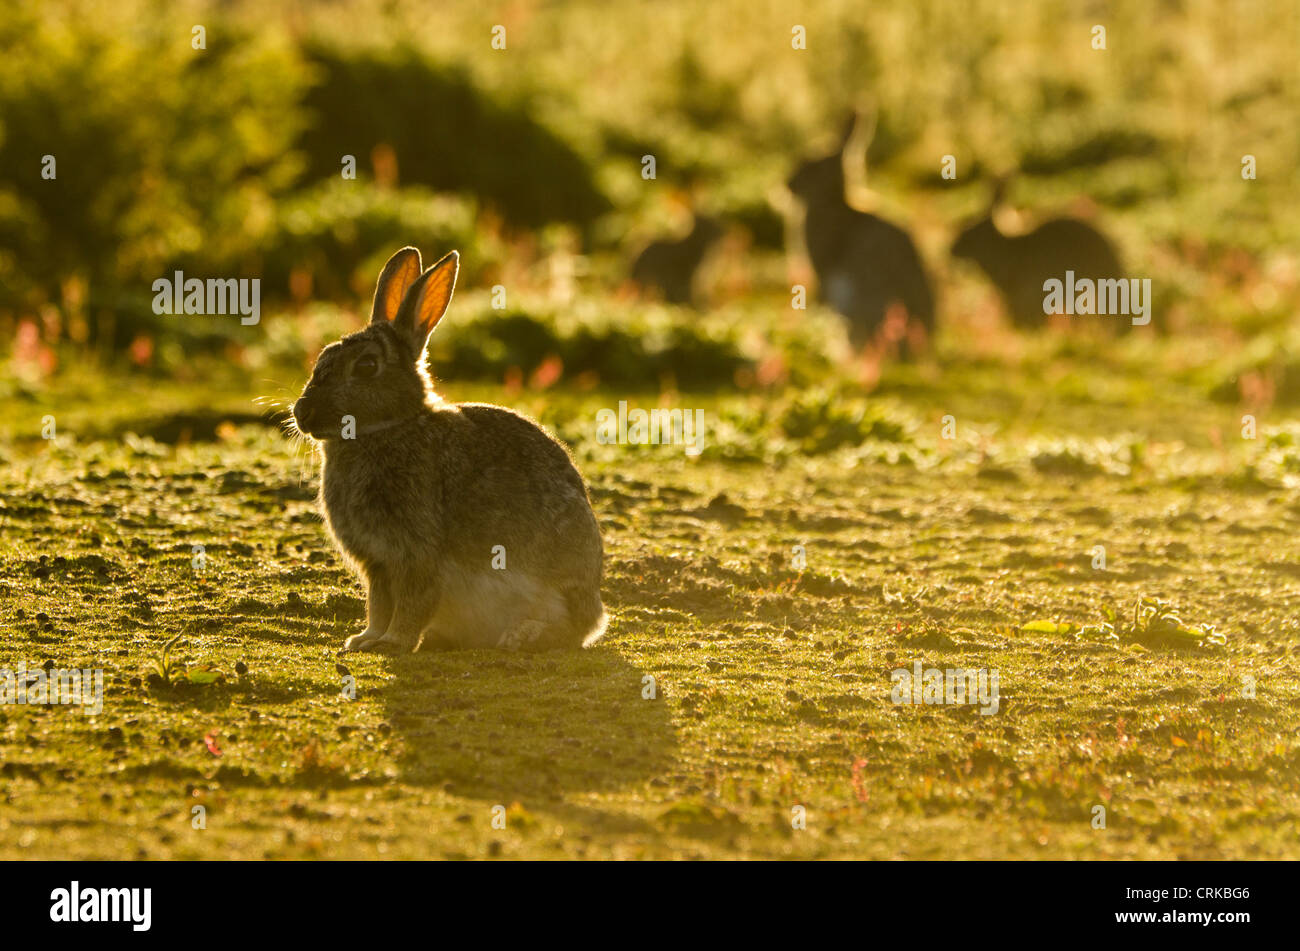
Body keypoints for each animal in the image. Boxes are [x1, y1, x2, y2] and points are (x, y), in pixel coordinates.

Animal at [292, 245, 605, 654]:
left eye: (367, 366)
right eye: (323, 357)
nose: (302, 413)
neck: (388, 427)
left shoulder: (416, 552)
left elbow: (412, 601)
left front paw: (392, 642)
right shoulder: (378, 565)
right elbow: (379, 604)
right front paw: (365, 639)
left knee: (569, 632)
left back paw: (522, 635)